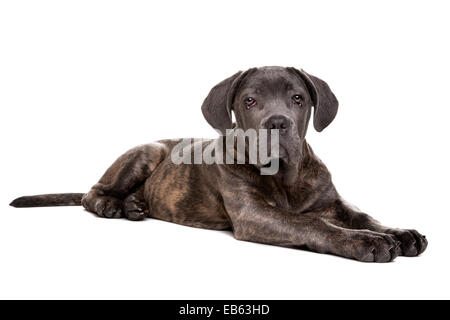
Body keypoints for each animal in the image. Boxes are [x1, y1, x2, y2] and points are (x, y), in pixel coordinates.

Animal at [8, 66, 428, 262]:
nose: (278, 123)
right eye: (249, 101)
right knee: (90, 194)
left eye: (297, 98)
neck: (285, 177)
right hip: (147, 151)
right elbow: (312, 224)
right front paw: (365, 242)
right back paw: (114, 205)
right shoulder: (254, 215)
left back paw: (135, 206)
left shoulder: (332, 201)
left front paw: (398, 232)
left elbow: (362, 214)